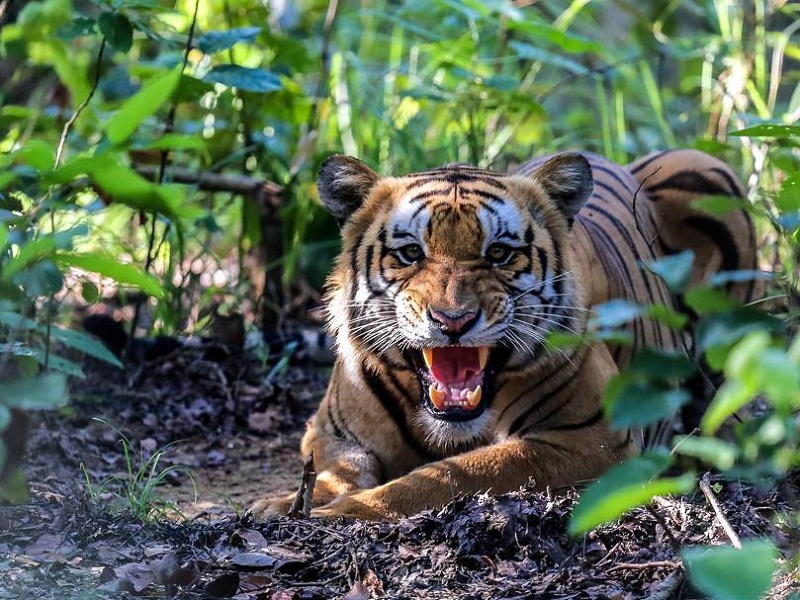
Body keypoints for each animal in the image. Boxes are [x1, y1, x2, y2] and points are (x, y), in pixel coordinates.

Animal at [253, 150, 760, 520]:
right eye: (411, 253)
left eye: (498, 253)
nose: (452, 320)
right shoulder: (328, 430)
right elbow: (336, 469)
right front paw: (282, 505)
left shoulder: (587, 439)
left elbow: (449, 475)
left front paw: (338, 513)